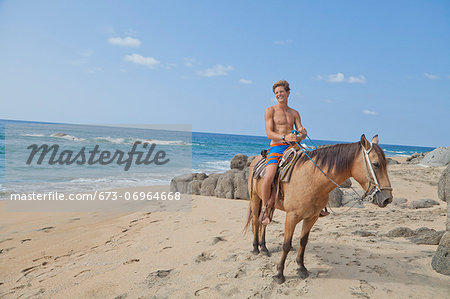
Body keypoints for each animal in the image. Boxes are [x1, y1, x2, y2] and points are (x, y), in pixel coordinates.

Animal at [244, 135, 392, 284]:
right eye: (376, 164)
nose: (388, 199)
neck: (312, 180)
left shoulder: (312, 217)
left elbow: (303, 241)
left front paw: (301, 268)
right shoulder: (291, 216)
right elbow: (286, 245)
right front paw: (279, 274)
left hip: (270, 204)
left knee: (264, 223)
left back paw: (264, 247)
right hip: (255, 198)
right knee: (256, 221)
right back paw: (256, 248)